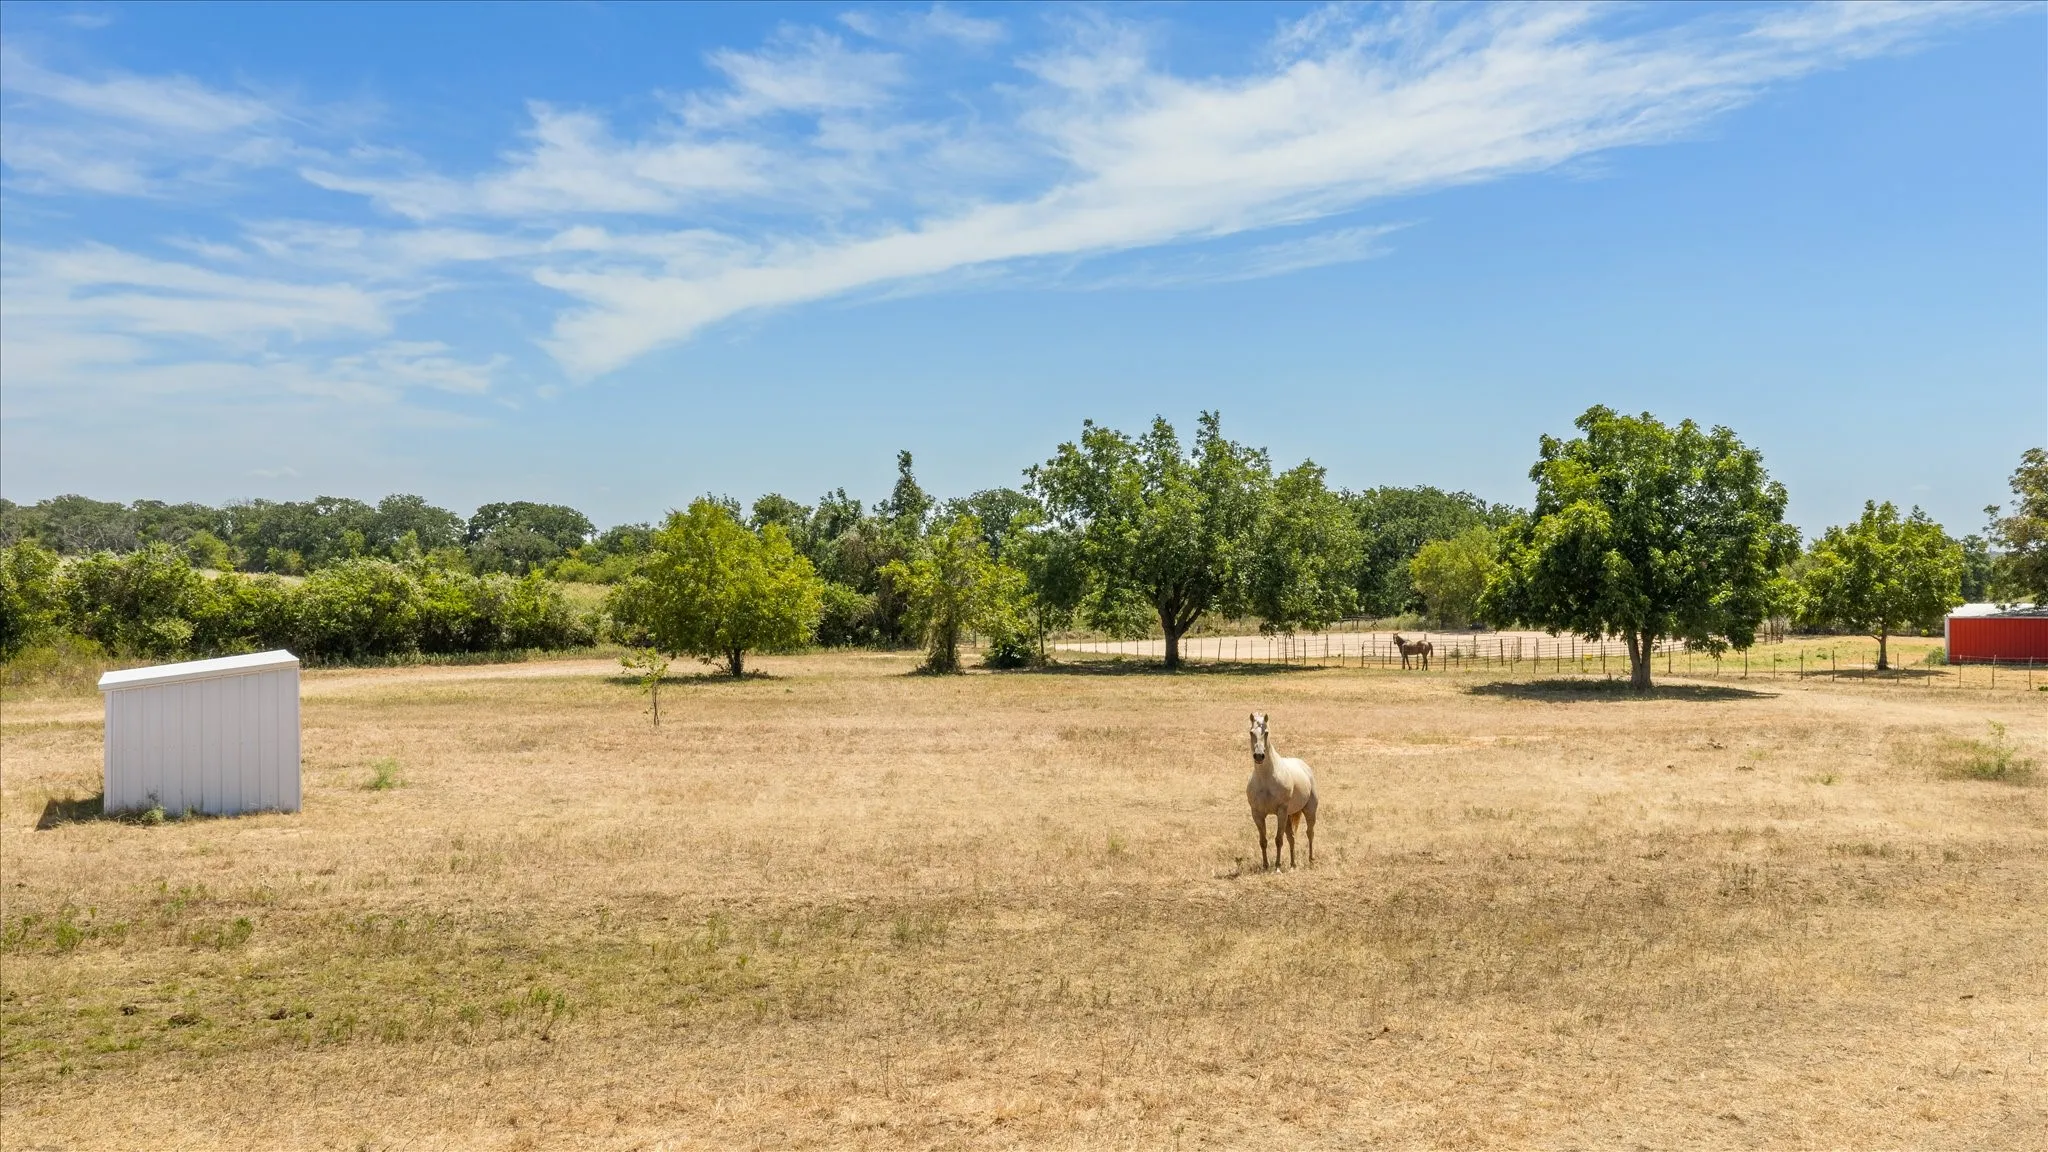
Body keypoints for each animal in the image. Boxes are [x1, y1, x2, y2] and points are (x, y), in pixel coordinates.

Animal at [1245, 712, 1317, 869]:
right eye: (1251, 732)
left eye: (1266, 732)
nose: (1259, 755)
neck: (1266, 778)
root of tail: (1305, 767)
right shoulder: (1257, 814)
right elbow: (1263, 841)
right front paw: (1265, 865)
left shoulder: (1281, 811)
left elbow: (1278, 839)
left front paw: (1277, 865)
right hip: (1289, 816)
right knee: (1292, 838)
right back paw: (1293, 864)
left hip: (1309, 810)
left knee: (1310, 833)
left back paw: (1310, 860)